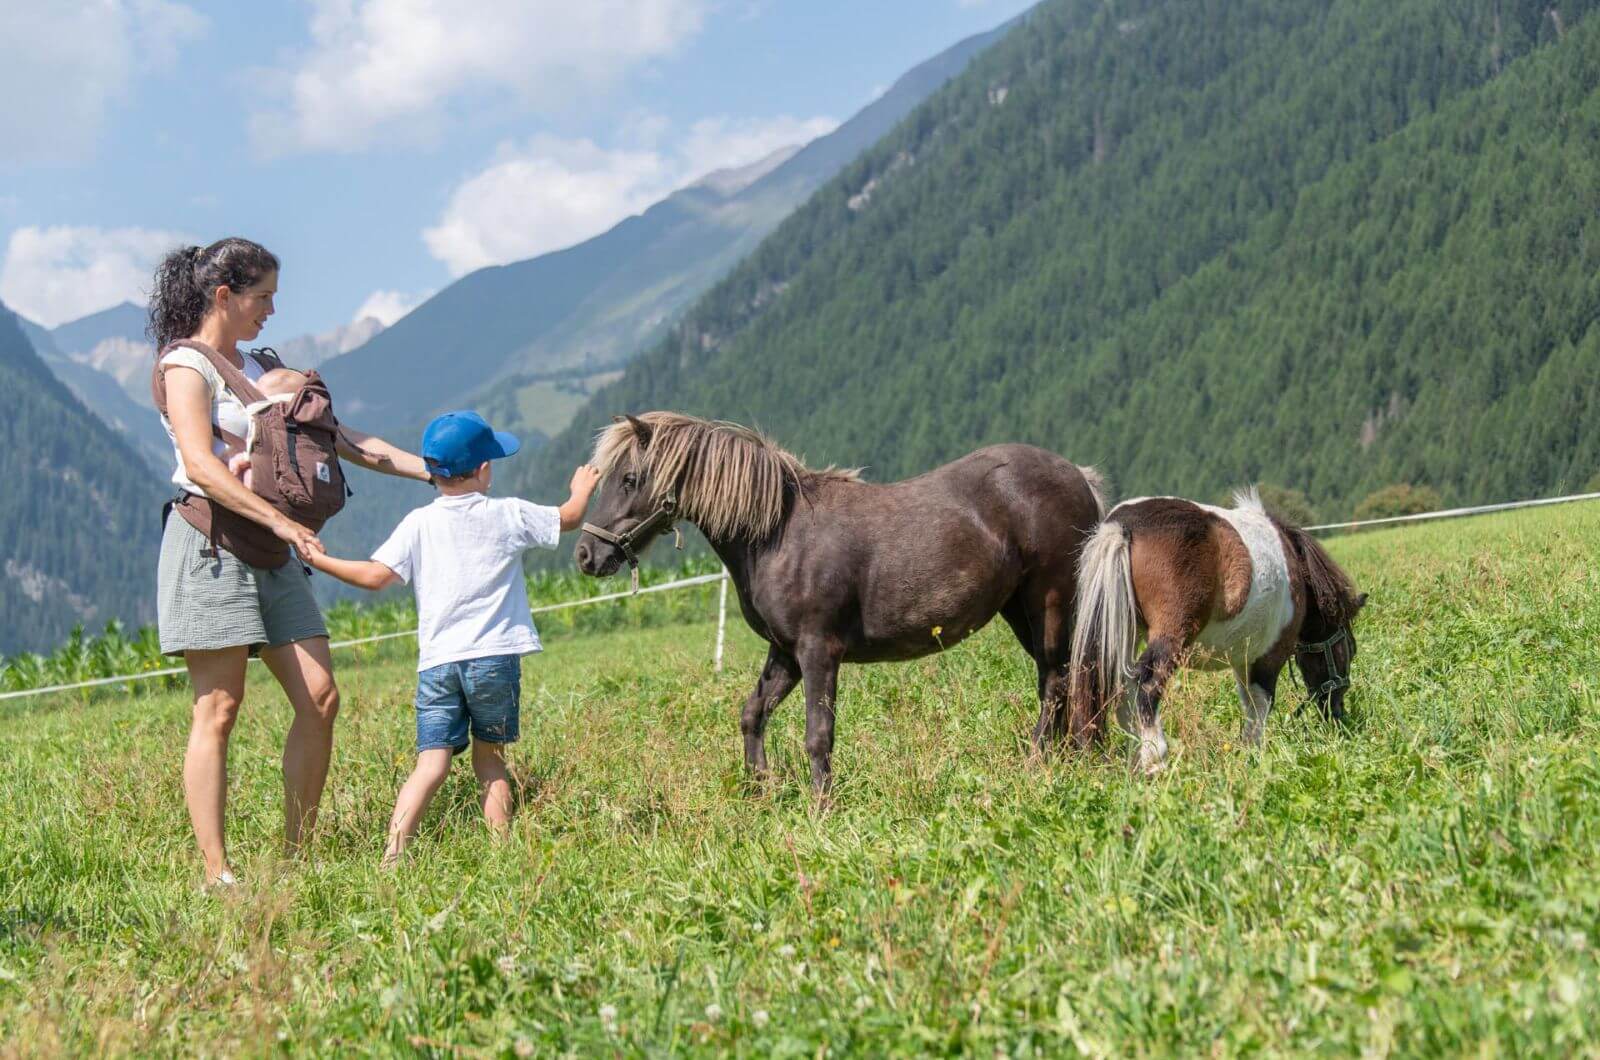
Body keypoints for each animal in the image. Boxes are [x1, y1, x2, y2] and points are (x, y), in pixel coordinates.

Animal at [573, 412, 1108, 794]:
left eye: (629, 479)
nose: (586, 555)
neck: (777, 534)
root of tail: (1079, 476)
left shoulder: (818, 652)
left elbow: (818, 733)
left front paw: (821, 805)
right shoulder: (785, 653)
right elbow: (752, 714)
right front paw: (760, 789)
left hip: (1049, 601)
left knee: (1058, 681)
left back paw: (1039, 759)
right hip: (1019, 609)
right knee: (1062, 679)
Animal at [1068, 488, 1368, 774]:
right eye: (1349, 651)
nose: (1338, 712)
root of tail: (1124, 524)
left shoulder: (1243, 658)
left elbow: (1249, 702)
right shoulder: (1269, 656)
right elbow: (1261, 704)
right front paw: (1254, 752)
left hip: (1126, 631)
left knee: (1121, 688)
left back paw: (1136, 759)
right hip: (1170, 636)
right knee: (1147, 683)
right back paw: (1155, 759)